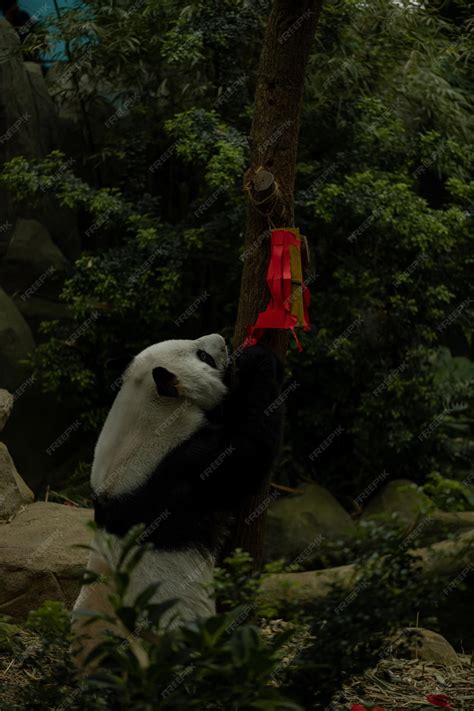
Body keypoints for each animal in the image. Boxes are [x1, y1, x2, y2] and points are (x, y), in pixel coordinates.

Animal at [72, 334, 284, 660]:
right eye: (202, 355)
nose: (221, 339)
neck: (151, 406)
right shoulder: (175, 463)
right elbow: (244, 459)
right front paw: (259, 361)